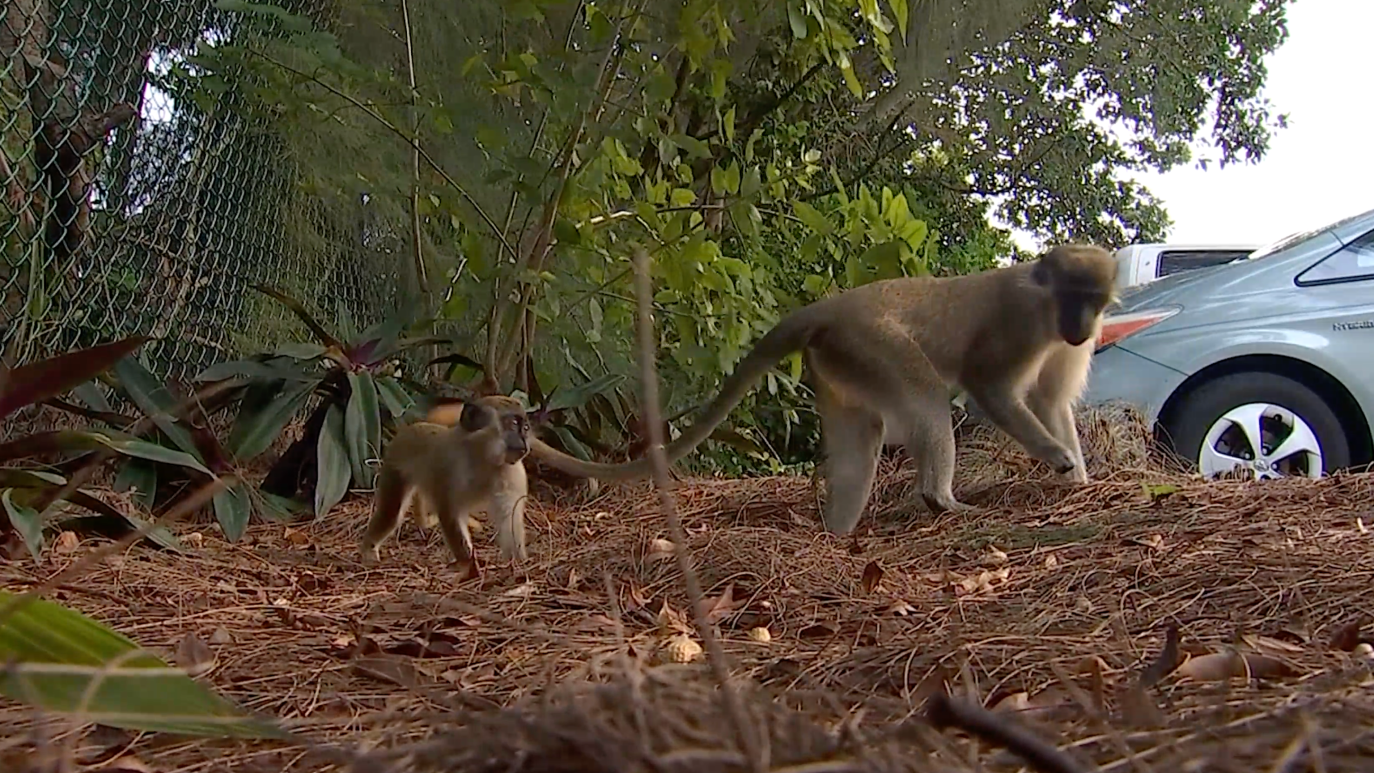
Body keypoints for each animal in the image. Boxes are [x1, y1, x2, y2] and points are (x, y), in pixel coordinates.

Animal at [360, 395, 532, 570]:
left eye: (525, 428)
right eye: (513, 424)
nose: (524, 443)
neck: (484, 457)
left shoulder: (513, 472)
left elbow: (509, 519)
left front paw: (518, 565)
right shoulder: (449, 466)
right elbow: (450, 514)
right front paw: (469, 566)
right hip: (395, 463)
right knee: (391, 513)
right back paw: (369, 550)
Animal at [512, 244, 1118, 535]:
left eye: (1094, 299)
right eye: (1073, 295)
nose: (1081, 322)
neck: (1046, 307)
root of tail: (832, 307)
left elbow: (1049, 401)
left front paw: (1078, 478)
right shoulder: (1019, 321)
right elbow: (988, 386)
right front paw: (1060, 459)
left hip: (841, 358)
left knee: (859, 442)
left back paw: (836, 533)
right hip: (872, 343)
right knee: (924, 396)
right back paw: (938, 499)